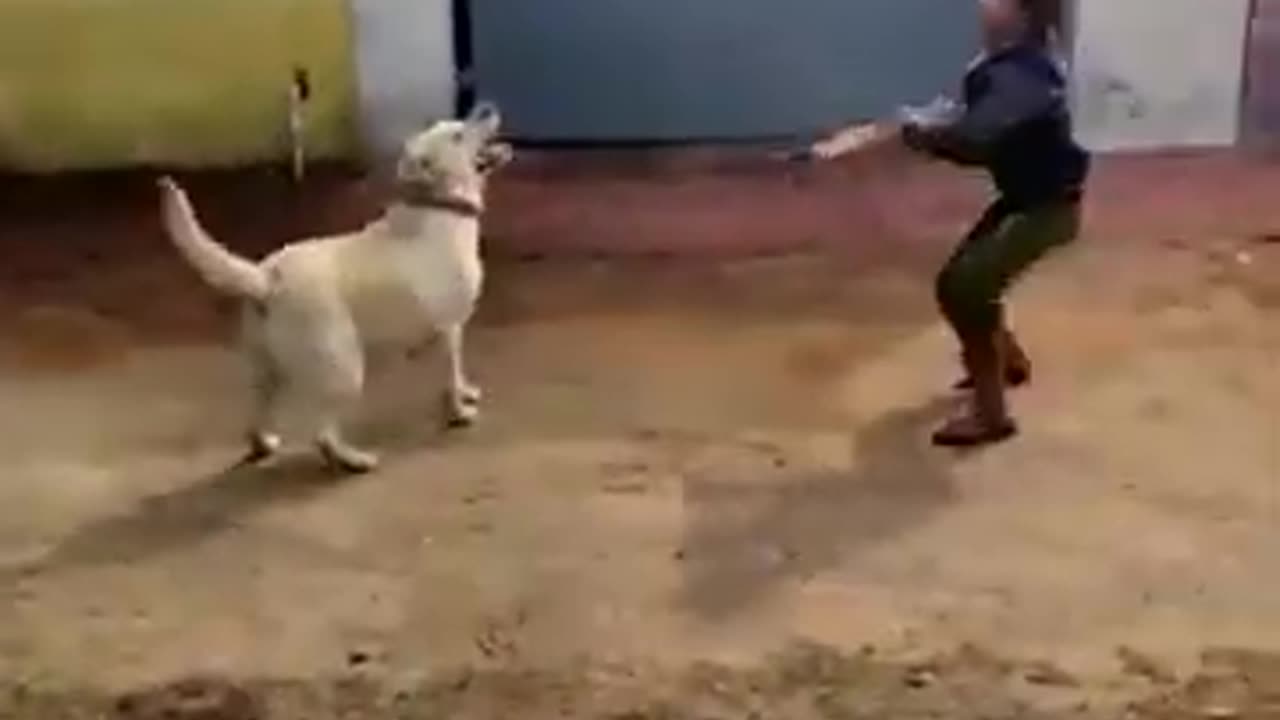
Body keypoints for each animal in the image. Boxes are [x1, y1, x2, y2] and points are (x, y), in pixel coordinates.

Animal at [161, 102, 514, 471]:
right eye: (457, 135)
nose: (486, 107)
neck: (438, 206)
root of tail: (267, 279)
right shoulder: (449, 329)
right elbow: (451, 376)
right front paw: (460, 411)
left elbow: (457, 376)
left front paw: (466, 394)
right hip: (343, 369)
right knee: (322, 432)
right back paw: (353, 459)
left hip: (265, 371)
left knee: (256, 415)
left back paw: (265, 444)